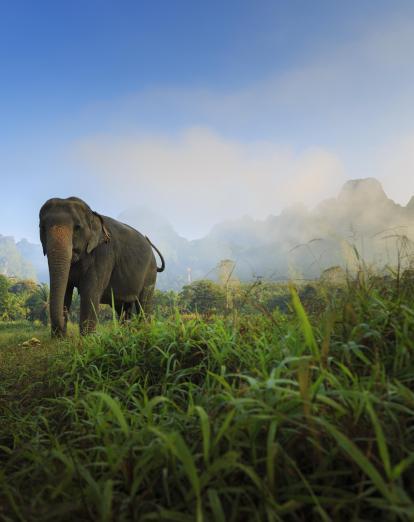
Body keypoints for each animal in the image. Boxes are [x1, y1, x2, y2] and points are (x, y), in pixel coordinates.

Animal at [39, 196, 165, 338]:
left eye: (77, 227)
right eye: (42, 227)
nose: (67, 334)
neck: (93, 215)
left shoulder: (104, 254)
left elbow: (90, 291)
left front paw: (88, 340)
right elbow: (66, 290)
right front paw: (58, 340)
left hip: (150, 274)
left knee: (143, 303)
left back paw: (144, 331)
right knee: (123, 308)